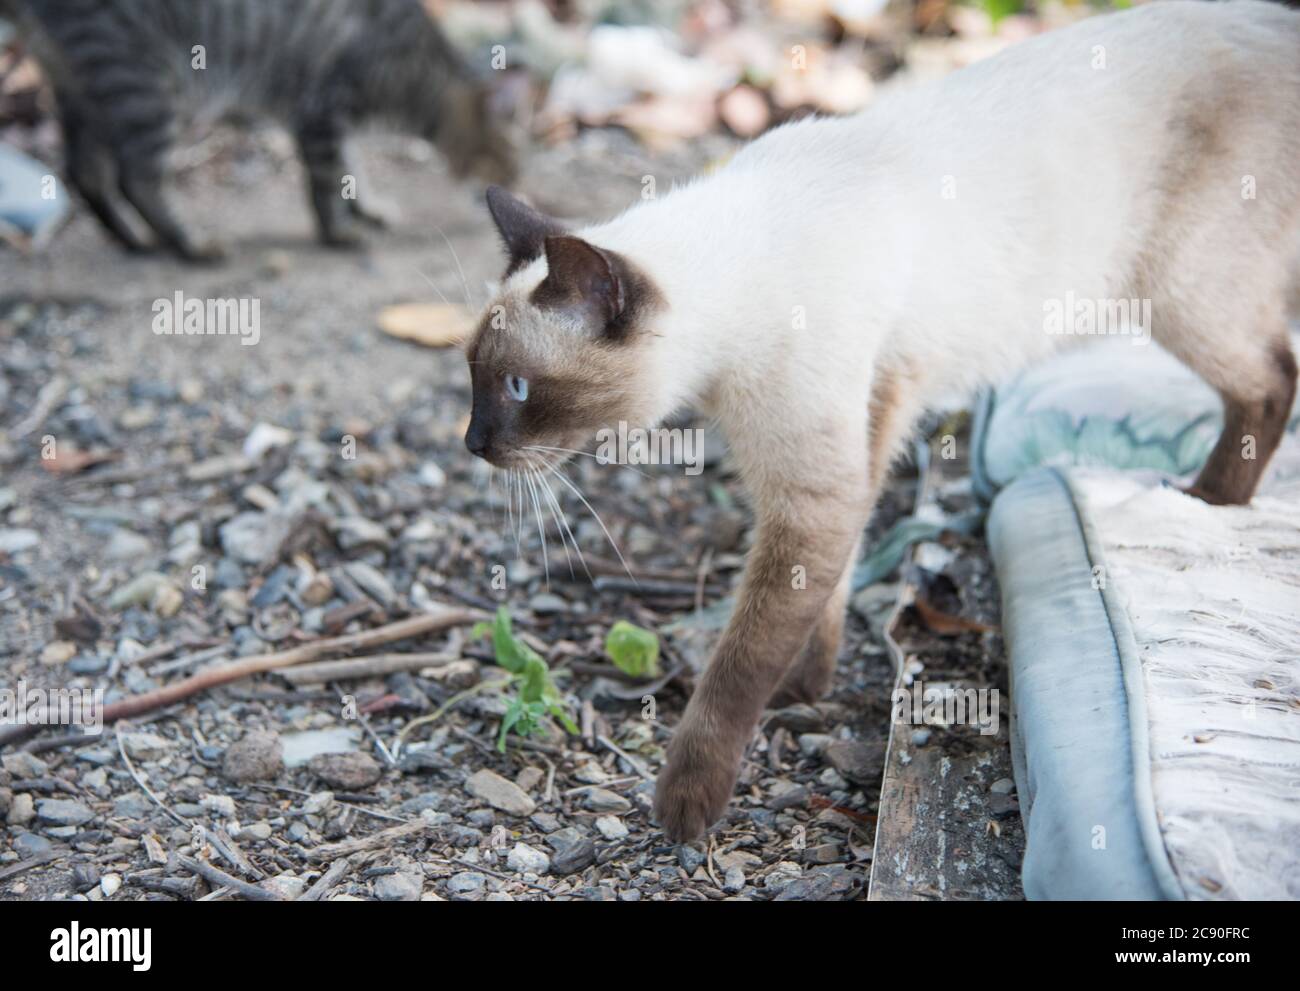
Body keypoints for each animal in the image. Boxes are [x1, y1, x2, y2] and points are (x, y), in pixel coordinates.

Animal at [8, 0, 522, 258]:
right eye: (515, 158)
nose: (518, 185)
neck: (423, 71)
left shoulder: (332, 123)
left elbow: (352, 172)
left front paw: (367, 209)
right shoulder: (321, 110)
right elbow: (327, 182)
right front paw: (339, 232)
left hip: (84, 96)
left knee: (84, 173)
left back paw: (133, 239)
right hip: (147, 88)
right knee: (137, 177)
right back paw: (190, 243)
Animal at [462, 3, 1294, 847]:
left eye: (519, 386)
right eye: (473, 377)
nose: (474, 443)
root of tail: (1269, 23)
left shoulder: (814, 483)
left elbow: (742, 660)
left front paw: (687, 802)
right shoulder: (863, 433)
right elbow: (833, 579)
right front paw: (807, 684)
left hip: (1178, 292)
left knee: (1270, 384)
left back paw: (1205, 503)